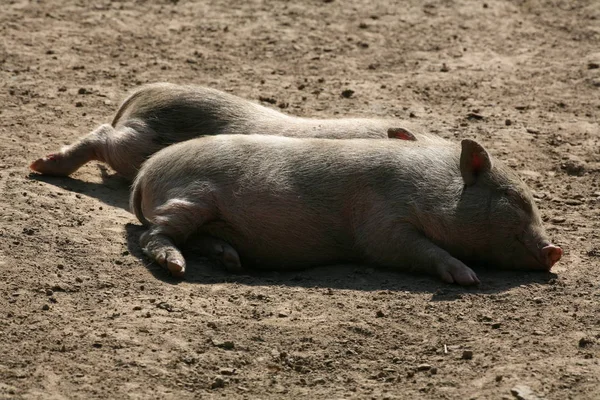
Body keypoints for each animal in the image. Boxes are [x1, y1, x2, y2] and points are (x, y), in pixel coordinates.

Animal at [130, 134, 564, 284]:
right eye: (516, 199)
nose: (556, 250)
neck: (431, 191)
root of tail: (143, 174)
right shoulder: (381, 227)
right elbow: (418, 249)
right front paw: (469, 278)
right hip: (191, 197)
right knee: (152, 235)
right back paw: (177, 268)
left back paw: (231, 260)